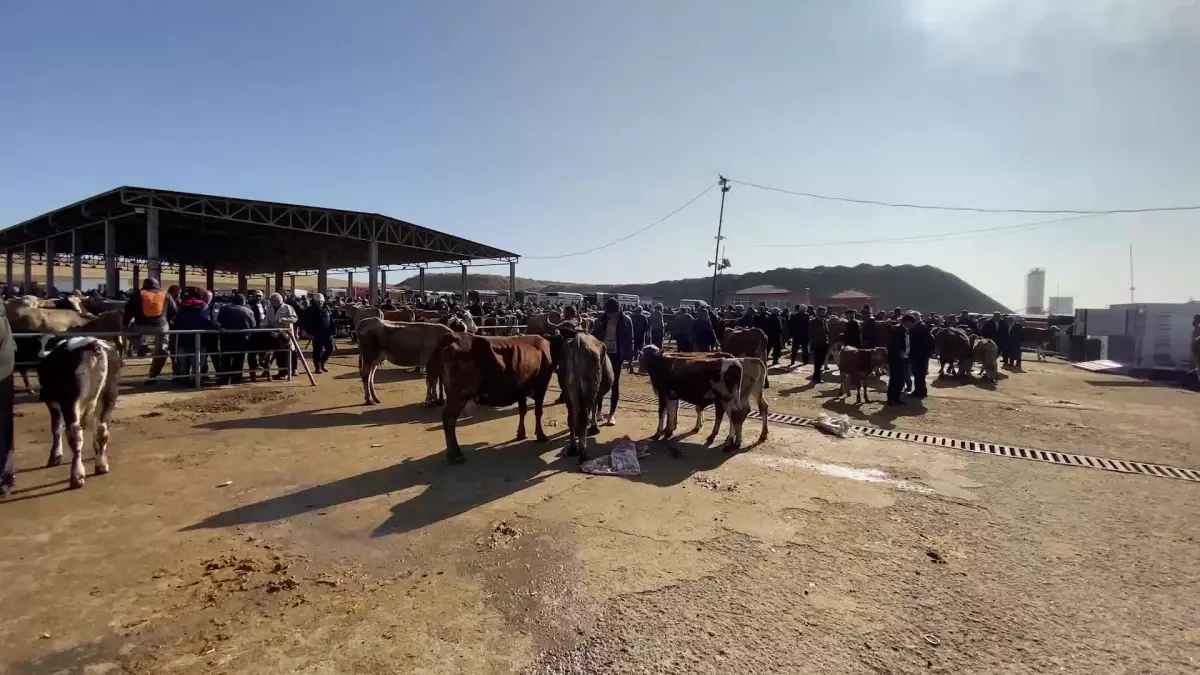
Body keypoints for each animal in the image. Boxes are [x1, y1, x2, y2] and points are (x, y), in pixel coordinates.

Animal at [34, 336, 120, 487]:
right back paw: (101, 465)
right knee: (102, 430)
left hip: (71, 400)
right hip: (109, 394)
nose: (41, 393)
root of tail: (94, 345)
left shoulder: (53, 403)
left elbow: (56, 428)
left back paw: (77, 476)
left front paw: (55, 457)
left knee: (75, 435)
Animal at [439, 331, 554, 461]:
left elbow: (522, 410)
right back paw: (455, 455)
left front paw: (521, 433)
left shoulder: (520, 389)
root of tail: (453, 336)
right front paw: (541, 435)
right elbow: (538, 412)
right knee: (449, 419)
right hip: (460, 395)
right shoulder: (541, 386)